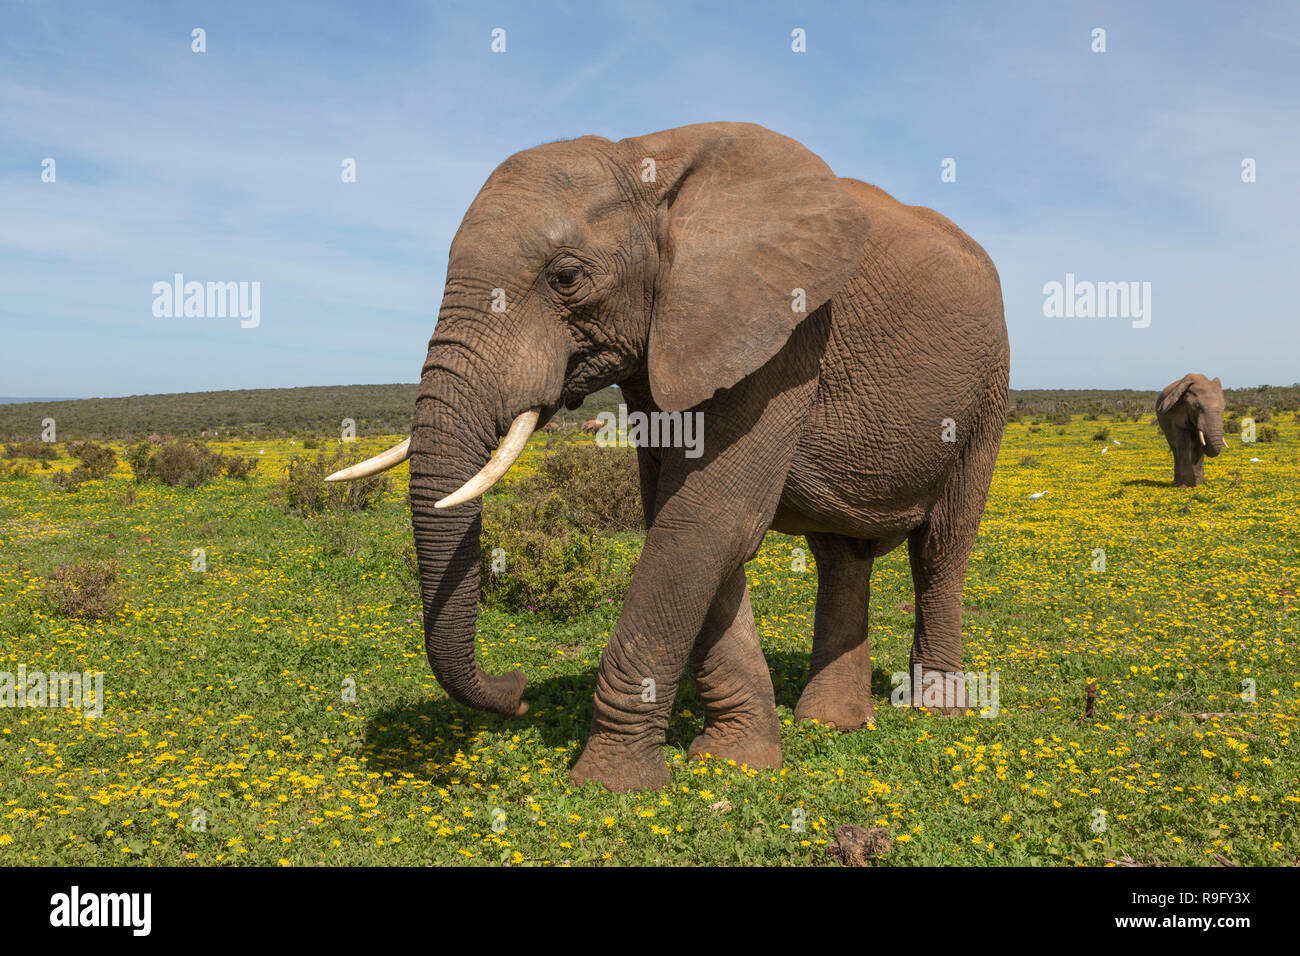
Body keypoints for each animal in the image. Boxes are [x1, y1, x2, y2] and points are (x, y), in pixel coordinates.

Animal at [326, 122, 1010, 792]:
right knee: (842, 557)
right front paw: (736, 762)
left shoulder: (785, 330)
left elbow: (707, 522)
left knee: (942, 546)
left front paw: (612, 787)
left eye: (565, 278)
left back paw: (936, 711)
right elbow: (687, 527)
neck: (644, 158)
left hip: (987, 393)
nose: (516, 690)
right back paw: (830, 724)